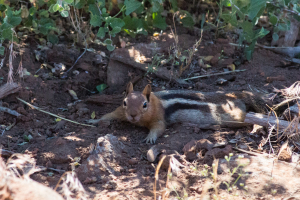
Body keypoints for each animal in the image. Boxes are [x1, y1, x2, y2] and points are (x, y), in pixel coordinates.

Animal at [99, 83, 270, 144]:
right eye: (125, 102)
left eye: (144, 105)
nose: (133, 115)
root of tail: (234, 95)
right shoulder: (122, 112)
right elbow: (113, 113)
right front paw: (97, 120)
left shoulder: (159, 119)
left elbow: (159, 128)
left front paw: (150, 138)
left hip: (235, 117)